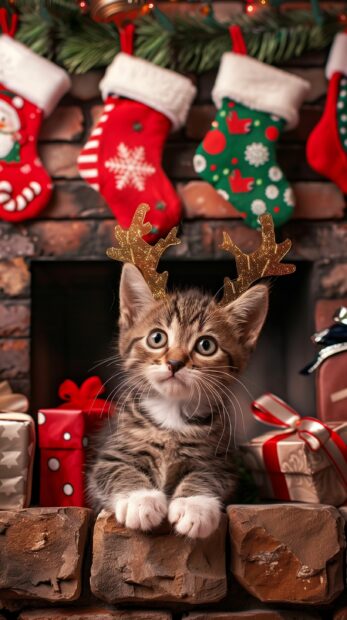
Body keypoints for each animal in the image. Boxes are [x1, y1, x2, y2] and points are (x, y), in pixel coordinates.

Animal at [88, 264, 268, 540]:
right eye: (157, 338)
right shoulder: (111, 453)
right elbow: (119, 470)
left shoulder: (221, 461)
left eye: (206, 345)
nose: (175, 362)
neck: (171, 413)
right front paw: (141, 501)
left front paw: (194, 506)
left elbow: (206, 476)